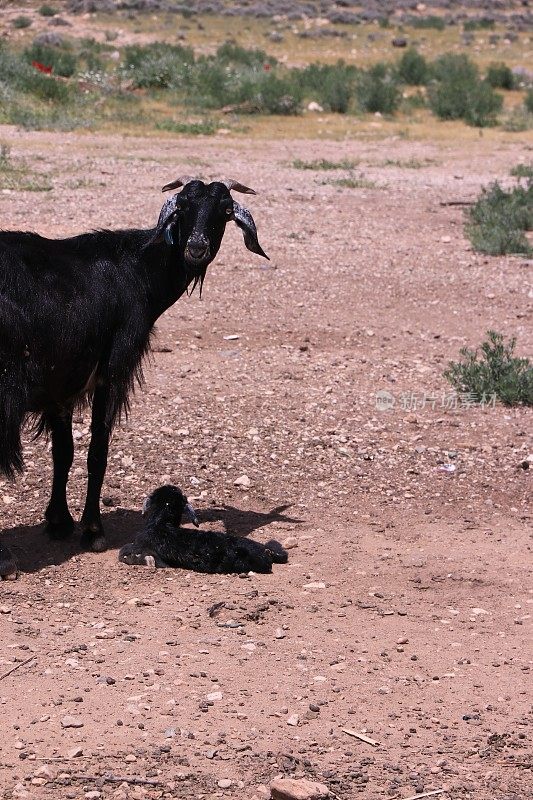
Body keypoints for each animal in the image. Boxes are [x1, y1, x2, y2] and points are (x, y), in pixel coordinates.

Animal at [0, 177, 266, 576]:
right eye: (183, 206)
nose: (196, 247)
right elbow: (97, 451)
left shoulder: (64, 381)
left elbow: (64, 452)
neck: (136, 270)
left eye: (224, 209)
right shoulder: (112, 370)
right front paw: (92, 530)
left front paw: (59, 522)